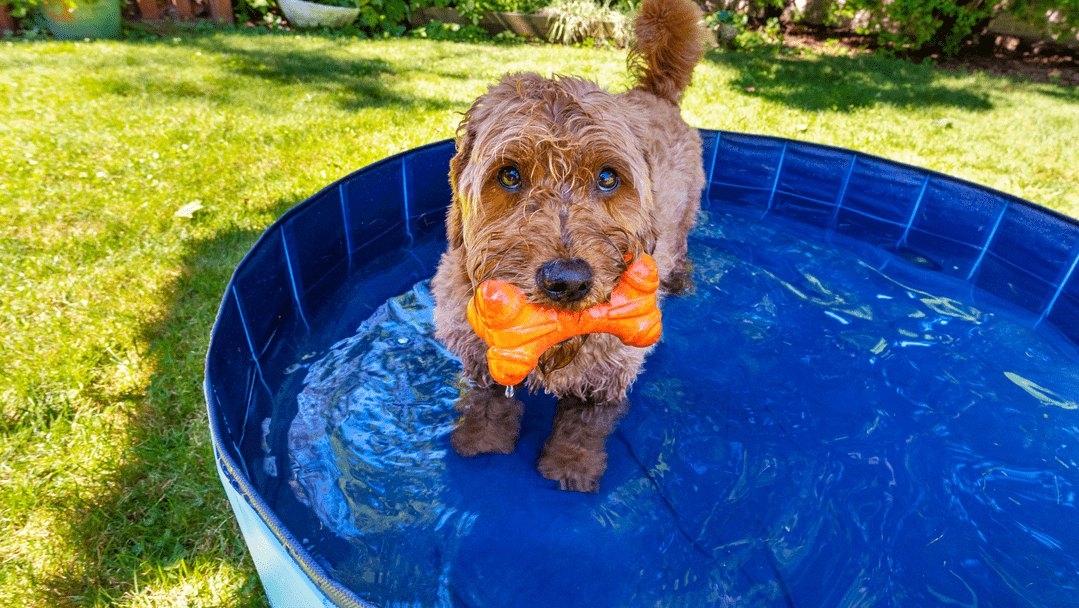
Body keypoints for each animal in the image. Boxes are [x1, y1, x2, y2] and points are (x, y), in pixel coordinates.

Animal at [429, 0, 707, 492]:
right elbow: (488, 401)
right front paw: (481, 441)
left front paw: (570, 465)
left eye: (608, 177)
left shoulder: (611, 369)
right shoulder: (479, 352)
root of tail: (654, 92)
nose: (567, 281)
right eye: (509, 175)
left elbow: (585, 423)